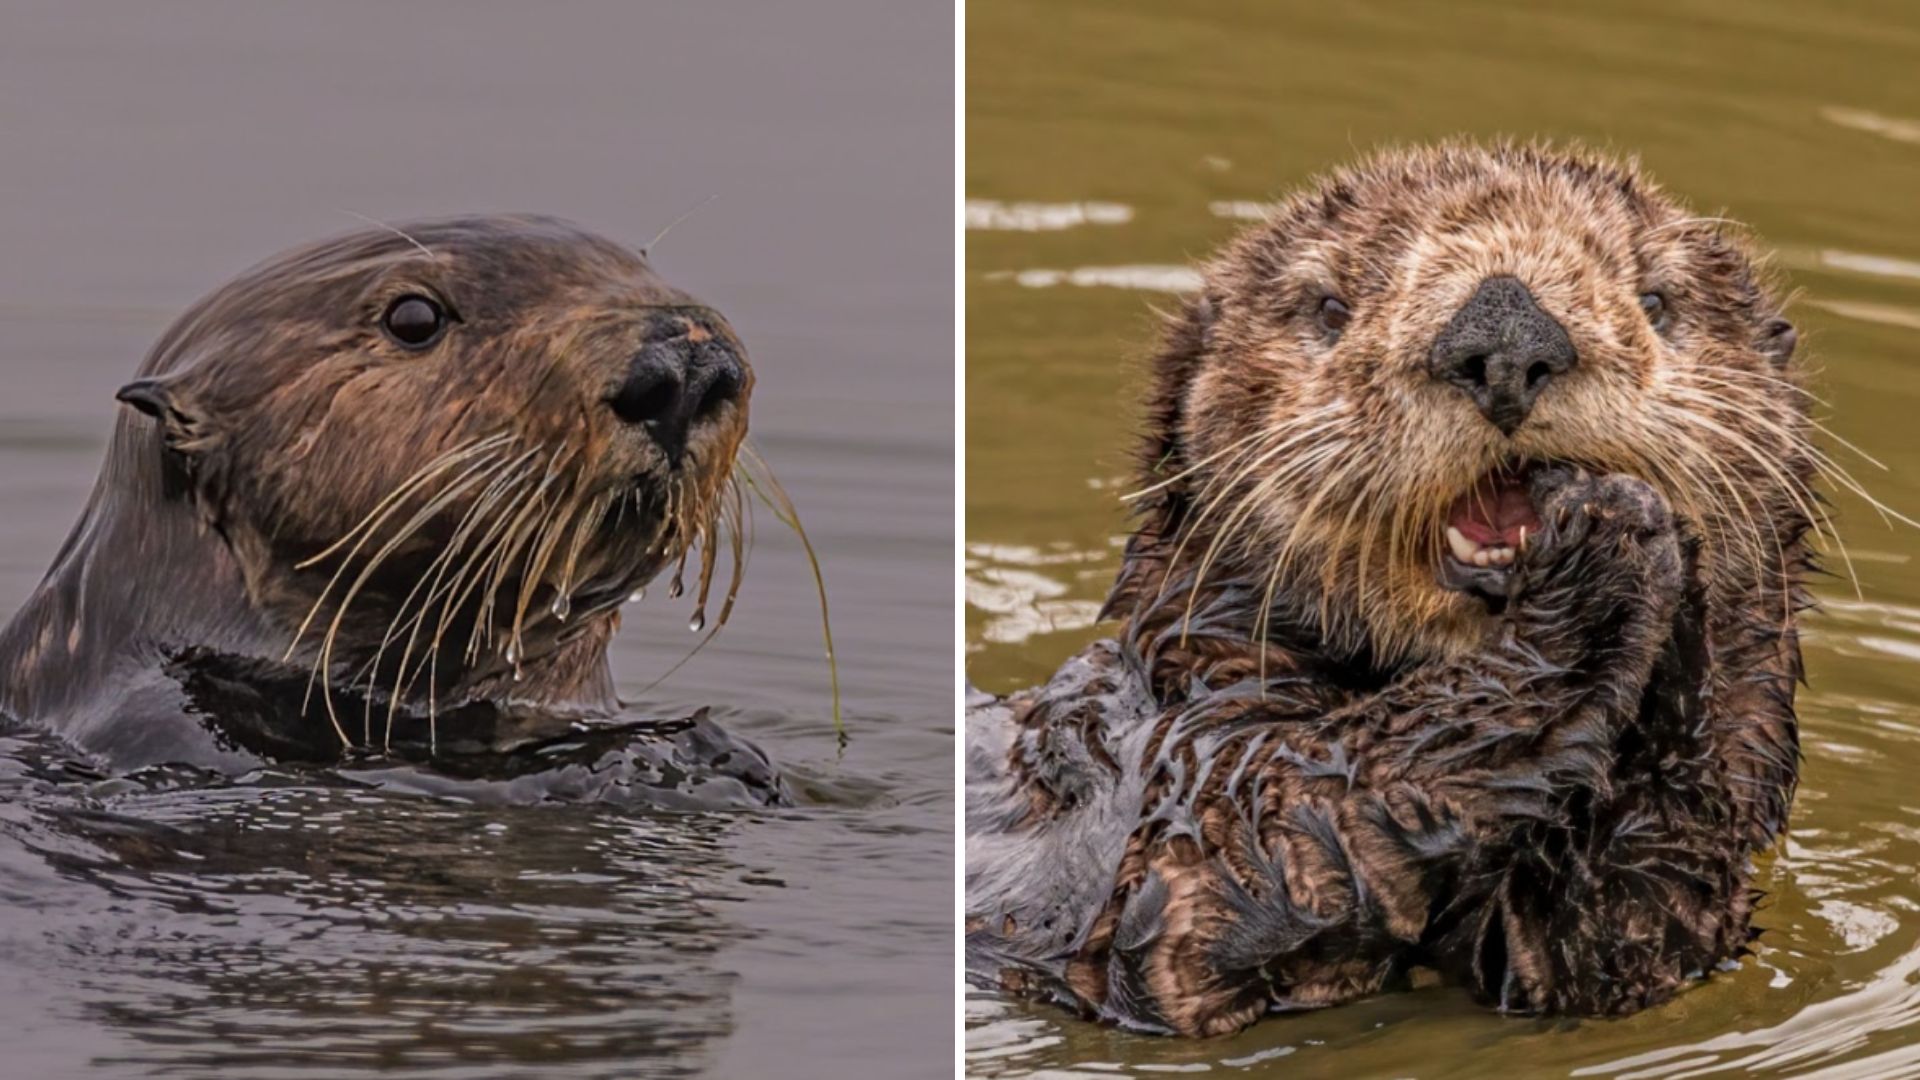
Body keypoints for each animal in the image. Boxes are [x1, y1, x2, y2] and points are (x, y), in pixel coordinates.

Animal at [967, 142, 1820, 1035]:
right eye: (1331, 306)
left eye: (1657, 299)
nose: (1507, 335)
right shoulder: (1172, 781)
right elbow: (1251, 839)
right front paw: (1607, 533)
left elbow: (1614, 936)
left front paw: (1697, 601)